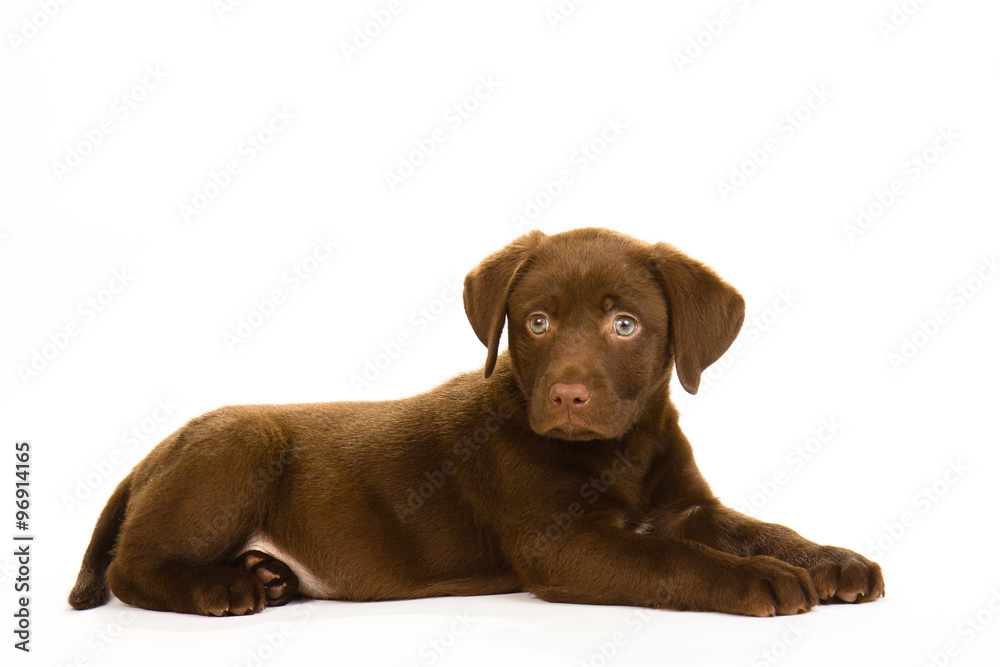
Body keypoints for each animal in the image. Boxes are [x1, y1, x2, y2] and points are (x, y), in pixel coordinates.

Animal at [70, 228, 884, 616]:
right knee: (131, 566)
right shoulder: (566, 546)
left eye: (625, 324)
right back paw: (225, 587)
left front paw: (831, 559)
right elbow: (675, 561)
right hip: (239, 440)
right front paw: (762, 580)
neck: (622, 450)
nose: (568, 395)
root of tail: (147, 456)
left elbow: (755, 526)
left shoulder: (685, 505)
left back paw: (262, 573)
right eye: (537, 321)